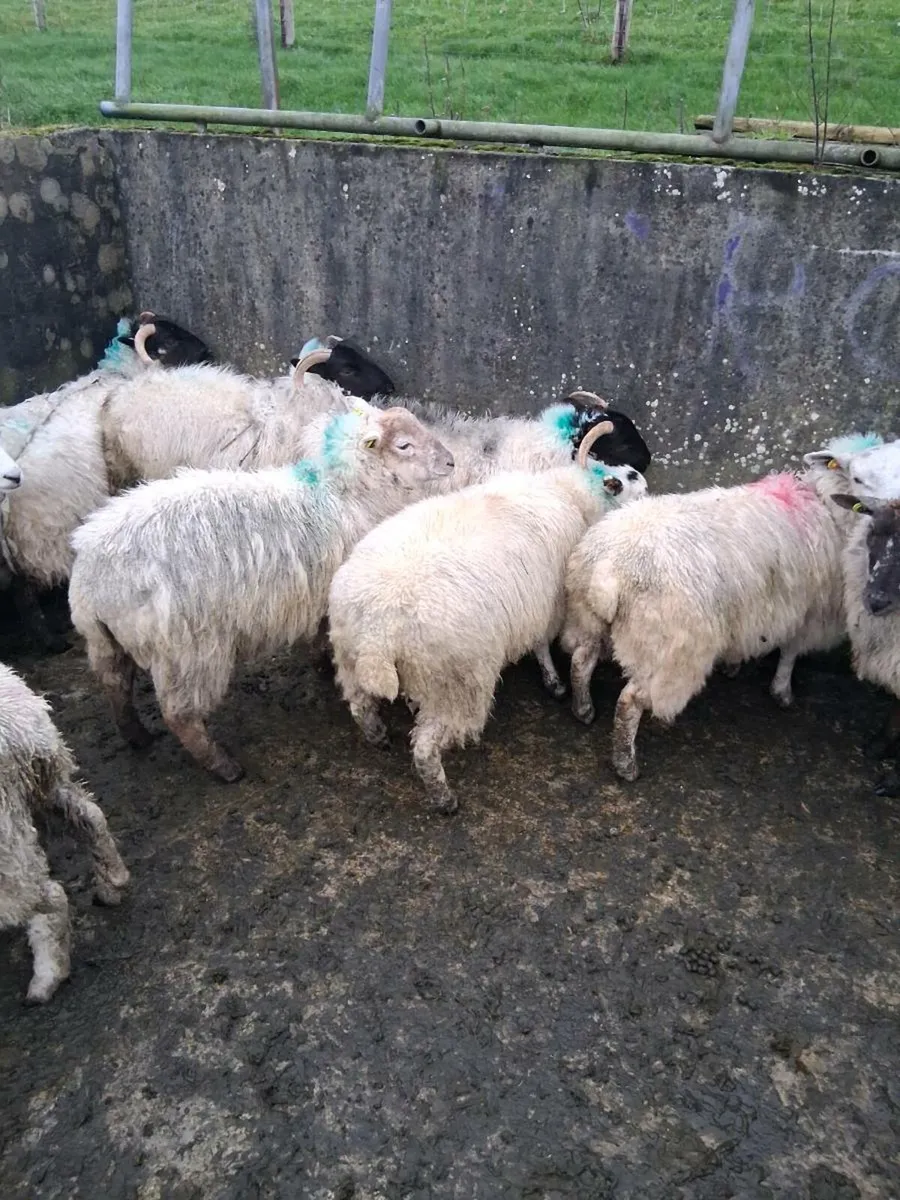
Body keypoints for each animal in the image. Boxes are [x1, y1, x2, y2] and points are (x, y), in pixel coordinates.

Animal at [0, 316, 213, 652]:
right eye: (169, 340)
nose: (208, 351)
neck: (121, 375)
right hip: (43, 540)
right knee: (25, 592)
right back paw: (51, 641)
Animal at [69, 403, 455, 783]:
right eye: (404, 445)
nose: (451, 461)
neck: (346, 495)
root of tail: (90, 577)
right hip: (187, 651)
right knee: (180, 715)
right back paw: (223, 766)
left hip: (106, 641)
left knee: (116, 685)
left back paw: (136, 736)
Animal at [328, 421, 648, 814]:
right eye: (626, 478)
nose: (643, 480)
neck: (569, 493)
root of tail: (378, 632)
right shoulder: (545, 605)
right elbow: (541, 645)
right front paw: (555, 683)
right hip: (457, 682)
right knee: (425, 748)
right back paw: (444, 799)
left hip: (351, 657)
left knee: (360, 705)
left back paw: (377, 736)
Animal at [560, 441, 872, 782]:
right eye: (860, 476)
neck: (822, 505)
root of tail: (610, 568)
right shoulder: (808, 611)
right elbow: (790, 653)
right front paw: (782, 692)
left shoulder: (756, 611)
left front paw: (734, 665)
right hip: (669, 649)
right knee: (631, 701)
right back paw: (626, 764)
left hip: (589, 618)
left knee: (581, 661)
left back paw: (583, 709)